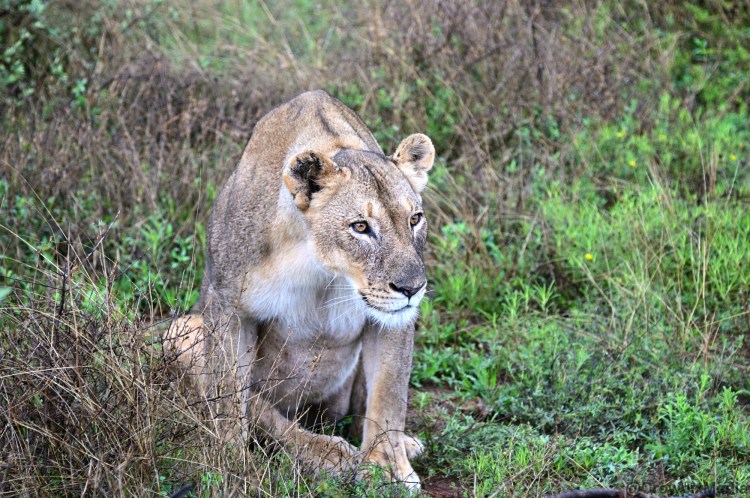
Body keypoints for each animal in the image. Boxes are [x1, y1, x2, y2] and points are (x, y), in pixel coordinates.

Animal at [165, 90, 434, 491]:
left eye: (414, 219)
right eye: (360, 227)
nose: (411, 289)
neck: (324, 266)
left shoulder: (390, 319)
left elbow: (388, 395)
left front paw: (389, 467)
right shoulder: (227, 305)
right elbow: (228, 399)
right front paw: (228, 467)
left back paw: (401, 445)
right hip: (182, 329)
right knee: (264, 412)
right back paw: (331, 455)